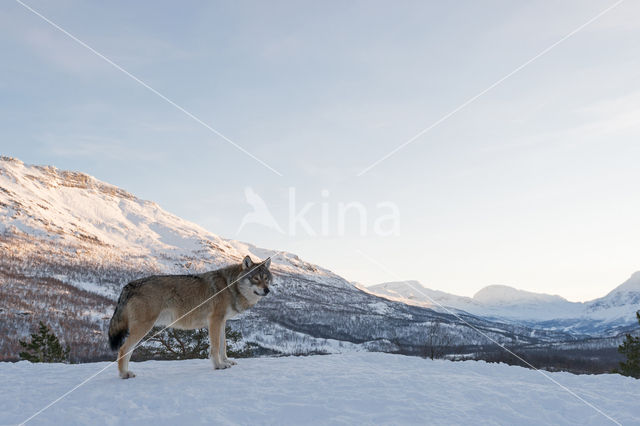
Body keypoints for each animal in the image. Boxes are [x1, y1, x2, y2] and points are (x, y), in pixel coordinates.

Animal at [108, 255, 272, 378]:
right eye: (256, 278)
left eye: (266, 278)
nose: (267, 290)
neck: (229, 286)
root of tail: (129, 285)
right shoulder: (214, 320)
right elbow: (215, 347)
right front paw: (219, 365)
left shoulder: (222, 322)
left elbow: (223, 345)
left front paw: (227, 362)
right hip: (144, 327)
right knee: (123, 349)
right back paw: (124, 374)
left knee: (127, 350)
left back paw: (125, 372)